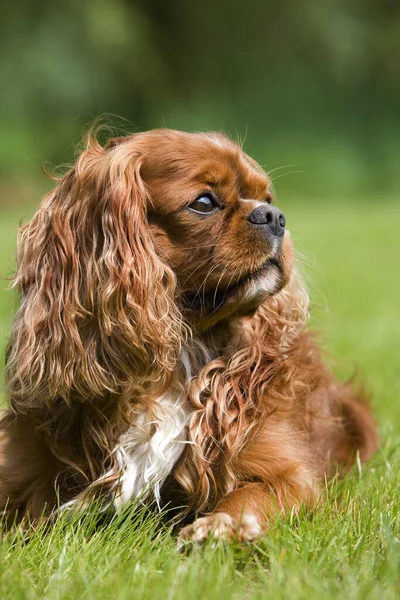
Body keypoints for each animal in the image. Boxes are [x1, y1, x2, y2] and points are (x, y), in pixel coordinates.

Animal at [0, 127, 378, 540]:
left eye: (268, 200)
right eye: (204, 203)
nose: (274, 216)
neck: (184, 349)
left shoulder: (289, 474)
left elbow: (248, 496)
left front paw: (219, 528)